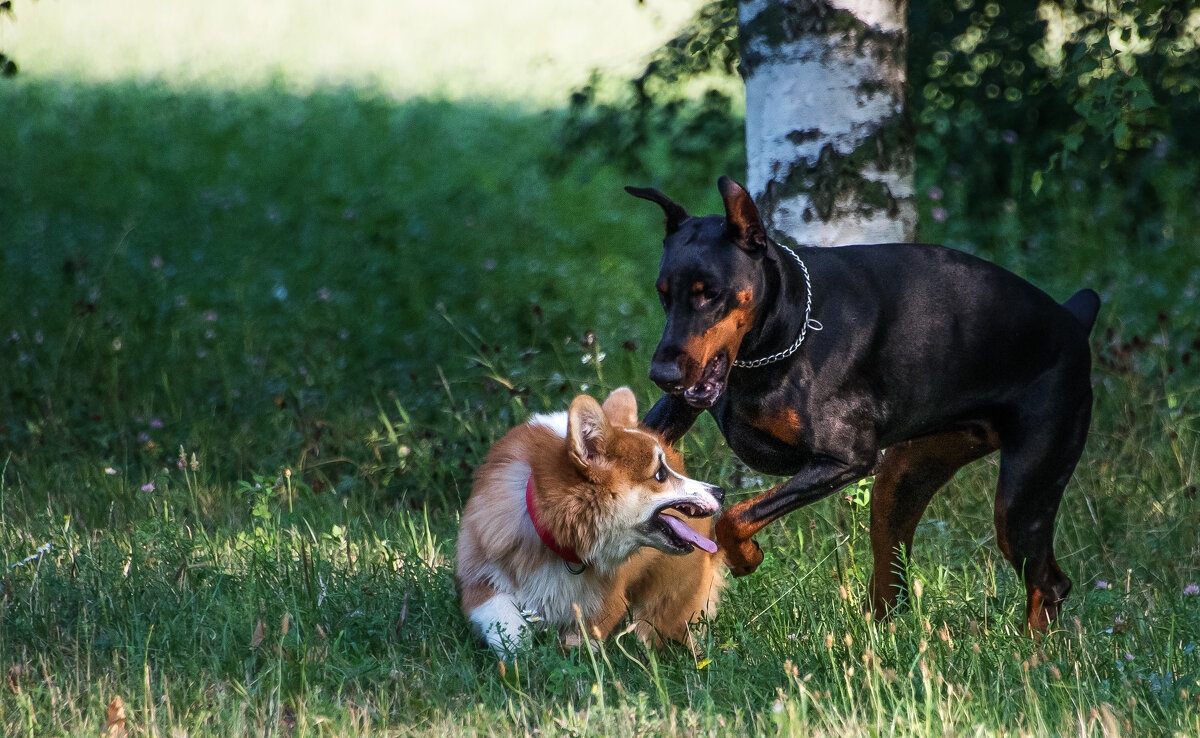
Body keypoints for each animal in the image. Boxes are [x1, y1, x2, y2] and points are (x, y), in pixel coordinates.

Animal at [456, 388, 720, 657]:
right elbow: (505, 623)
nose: (720, 492)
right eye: (660, 474)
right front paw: (522, 656)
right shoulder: (479, 576)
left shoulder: (603, 606)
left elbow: (577, 646)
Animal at [624, 176, 1099, 633]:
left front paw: (747, 558)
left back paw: (1034, 653)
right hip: (904, 478)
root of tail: (1074, 321)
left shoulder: (845, 458)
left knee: (1049, 583)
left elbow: (734, 517)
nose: (662, 374)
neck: (783, 334)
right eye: (664, 293)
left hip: (1023, 494)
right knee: (894, 585)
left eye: (710, 293)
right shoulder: (681, 407)